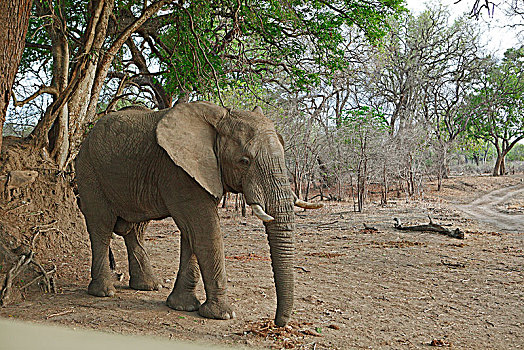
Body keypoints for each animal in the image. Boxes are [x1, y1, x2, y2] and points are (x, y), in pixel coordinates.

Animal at [73, 100, 320, 326]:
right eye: (244, 161)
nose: (278, 323)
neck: (221, 117)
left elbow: (191, 233)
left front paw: (182, 306)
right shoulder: (177, 170)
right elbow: (204, 231)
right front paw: (222, 315)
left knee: (135, 229)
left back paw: (149, 287)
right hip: (89, 171)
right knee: (102, 227)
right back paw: (104, 292)